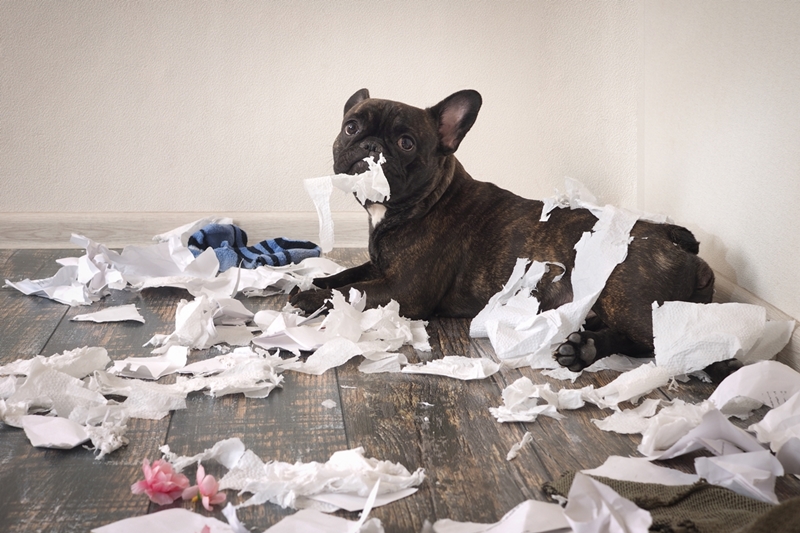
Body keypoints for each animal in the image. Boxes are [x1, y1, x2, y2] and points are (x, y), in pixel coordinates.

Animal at [290, 89, 720, 372]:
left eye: (406, 143)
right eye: (351, 127)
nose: (370, 145)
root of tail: (672, 238)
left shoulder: (402, 290)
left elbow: (353, 292)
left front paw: (310, 299)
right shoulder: (380, 266)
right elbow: (347, 275)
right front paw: (316, 282)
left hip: (629, 299)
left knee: (666, 345)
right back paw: (583, 346)